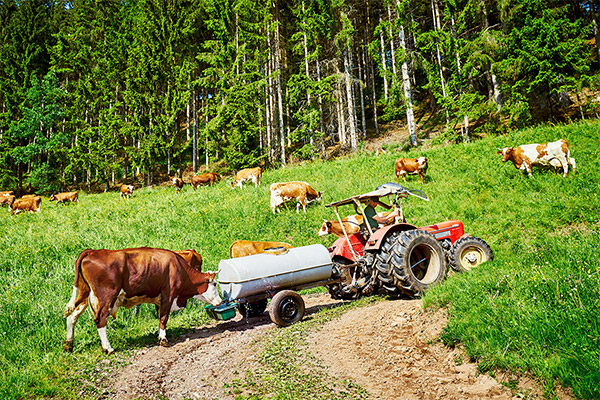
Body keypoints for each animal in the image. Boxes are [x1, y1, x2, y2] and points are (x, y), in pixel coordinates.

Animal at [62, 247, 220, 354]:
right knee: (100, 319)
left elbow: (159, 317)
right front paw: (163, 340)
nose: (219, 301)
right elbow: (164, 318)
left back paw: (69, 345)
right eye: (214, 284)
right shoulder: (168, 295)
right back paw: (108, 348)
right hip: (107, 297)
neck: (179, 267)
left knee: (72, 316)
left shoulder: (159, 299)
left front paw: (159, 336)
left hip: (83, 294)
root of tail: (92, 251)